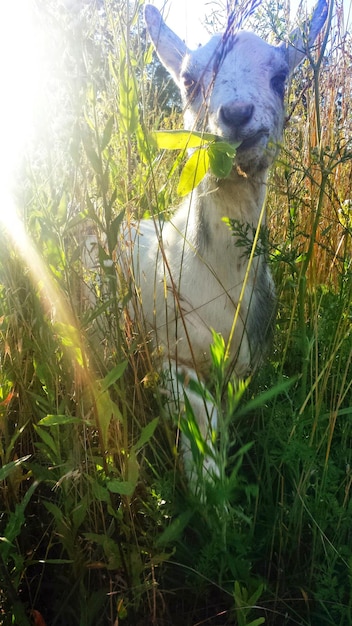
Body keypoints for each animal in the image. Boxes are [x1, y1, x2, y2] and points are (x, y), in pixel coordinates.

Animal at [129, 1, 328, 478]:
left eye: (280, 76)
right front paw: (212, 490)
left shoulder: (244, 367)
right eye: (189, 81)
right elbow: (203, 435)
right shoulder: (173, 352)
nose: (236, 114)